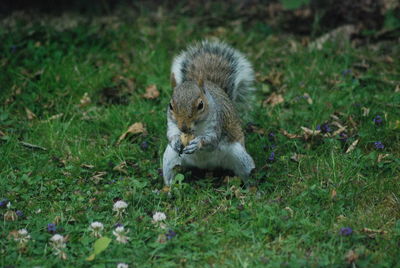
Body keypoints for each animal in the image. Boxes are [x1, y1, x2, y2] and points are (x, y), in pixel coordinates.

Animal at [162, 40, 256, 186]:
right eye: (170, 106)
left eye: (200, 105)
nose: (183, 128)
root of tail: (206, 166)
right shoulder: (172, 123)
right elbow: (171, 134)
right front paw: (176, 141)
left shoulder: (217, 123)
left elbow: (212, 140)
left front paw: (198, 143)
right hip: (170, 159)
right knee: (171, 174)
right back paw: (169, 188)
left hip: (240, 157)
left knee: (247, 172)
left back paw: (251, 188)